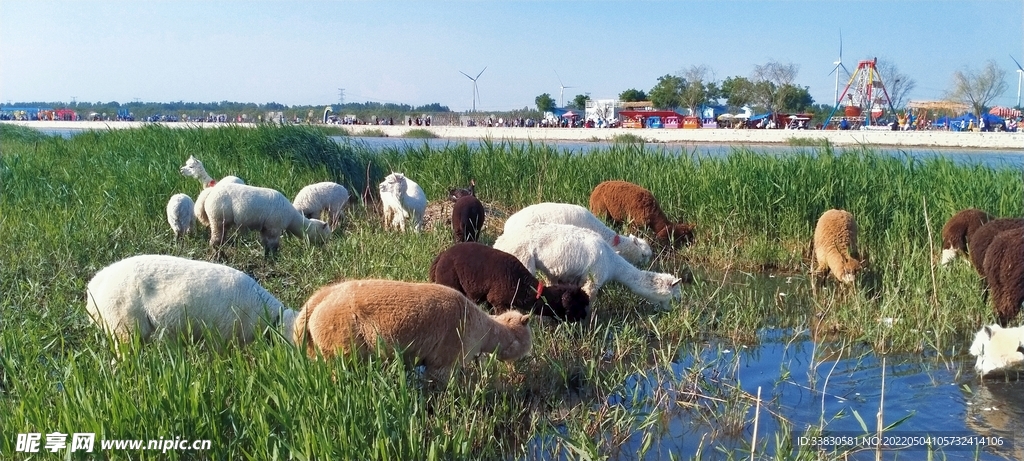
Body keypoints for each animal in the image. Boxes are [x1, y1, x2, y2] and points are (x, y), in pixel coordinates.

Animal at [193, 182, 329, 256]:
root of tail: (208, 194)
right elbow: (274, 245)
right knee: (215, 241)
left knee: (220, 239)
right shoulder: (274, 227)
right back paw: (220, 256)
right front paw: (274, 258)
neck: (292, 218)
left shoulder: (265, 227)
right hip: (218, 217)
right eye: (325, 234)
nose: (325, 246)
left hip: (221, 221)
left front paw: (266, 256)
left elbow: (266, 244)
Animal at [493, 221, 684, 307]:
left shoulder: (571, 278)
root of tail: (499, 242)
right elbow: (589, 300)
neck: (612, 263)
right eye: (677, 295)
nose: (673, 309)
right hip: (522, 259)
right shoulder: (594, 278)